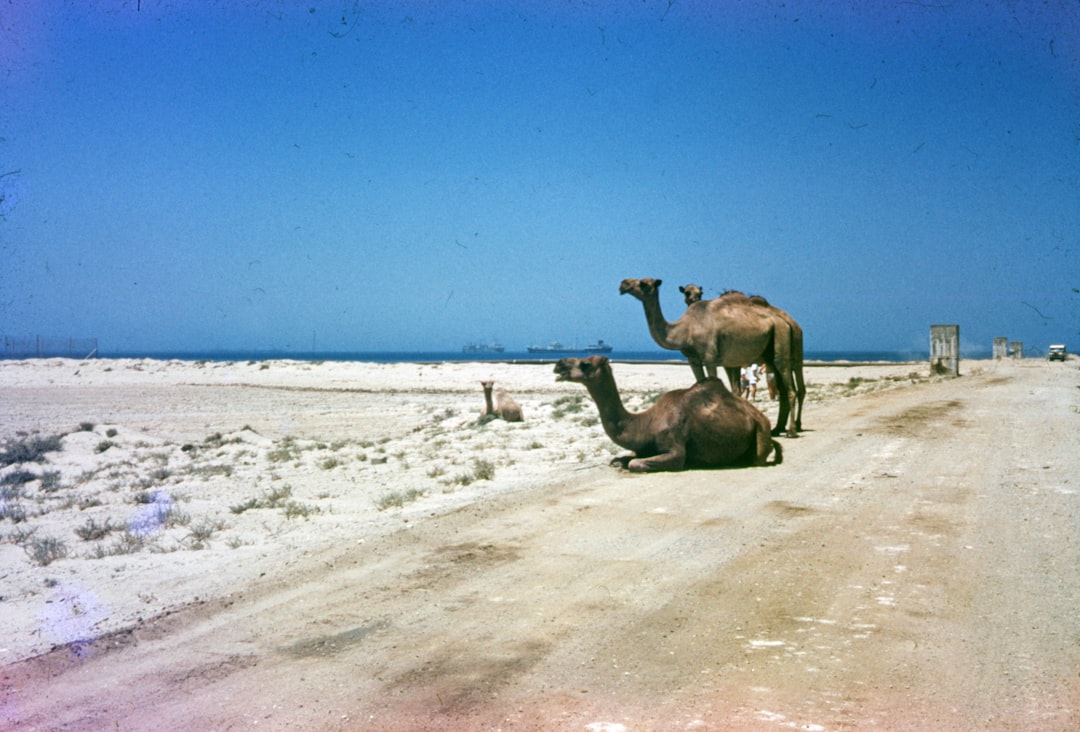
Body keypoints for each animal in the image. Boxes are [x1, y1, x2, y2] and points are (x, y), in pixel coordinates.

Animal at [552, 356, 781, 472]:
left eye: (585, 364)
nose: (558, 365)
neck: (645, 423)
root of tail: (761, 416)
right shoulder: (641, 447)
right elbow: (621, 459)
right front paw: (619, 461)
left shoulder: (675, 448)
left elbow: (636, 463)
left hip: (761, 431)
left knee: (757, 458)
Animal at [617, 275, 803, 436]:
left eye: (643, 283)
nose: (623, 283)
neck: (686, 329)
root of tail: (785, 321)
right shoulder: (693, 360)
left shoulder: (710, 358)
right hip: (771, 351)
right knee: (784, 389)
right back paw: (778, 429)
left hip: (781, 343)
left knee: (791, 388)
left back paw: (792, 431)